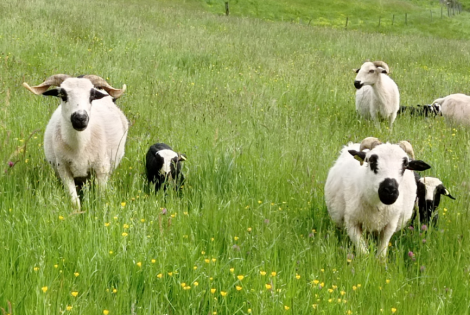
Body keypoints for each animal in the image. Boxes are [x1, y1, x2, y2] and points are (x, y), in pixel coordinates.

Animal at [23, 75, 127, 211]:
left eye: (92, 95)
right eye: (62, 95)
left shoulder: (101, 169)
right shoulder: (63, 168)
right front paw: (77, 213)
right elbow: (74, 201)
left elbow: (100, 197)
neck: (80, 146)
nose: (80, 118)